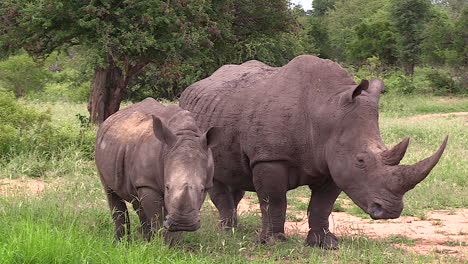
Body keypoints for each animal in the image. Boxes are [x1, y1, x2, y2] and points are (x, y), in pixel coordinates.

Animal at [95, 98, 221, 242]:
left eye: (201, 189)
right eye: (167, 187)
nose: (183, 222)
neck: (185, 134)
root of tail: (110, 118)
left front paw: (174, 244)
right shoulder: (148, 184)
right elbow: (157, 219)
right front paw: (160, 244)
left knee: (137, 202)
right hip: (100, 146)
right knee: (110, 191)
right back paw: (121, 243)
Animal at [178, 54, 446, 249]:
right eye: (361, 160)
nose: (390, 211)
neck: (326, 110)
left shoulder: (333, 162)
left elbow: (322, 205)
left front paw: (325, 244)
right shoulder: (270, 158)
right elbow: (274, 200)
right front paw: (273, 242)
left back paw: (237, 229)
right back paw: (229, 231)